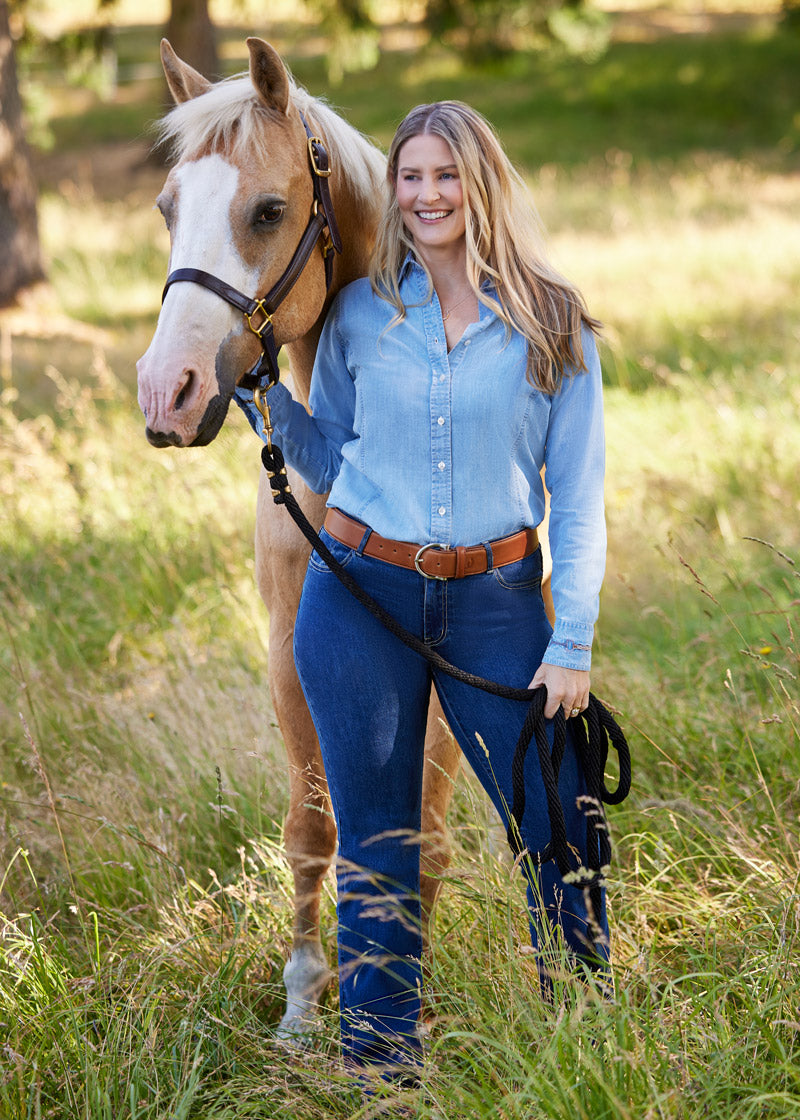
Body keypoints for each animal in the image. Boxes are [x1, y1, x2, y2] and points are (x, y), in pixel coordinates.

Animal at [136, 37, 461, 1039]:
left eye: (269, 211)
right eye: (167, 209)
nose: (167, 392)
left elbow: (416, 831)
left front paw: (400, 997)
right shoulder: (287, 652)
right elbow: (314, 828)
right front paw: (306, 997)